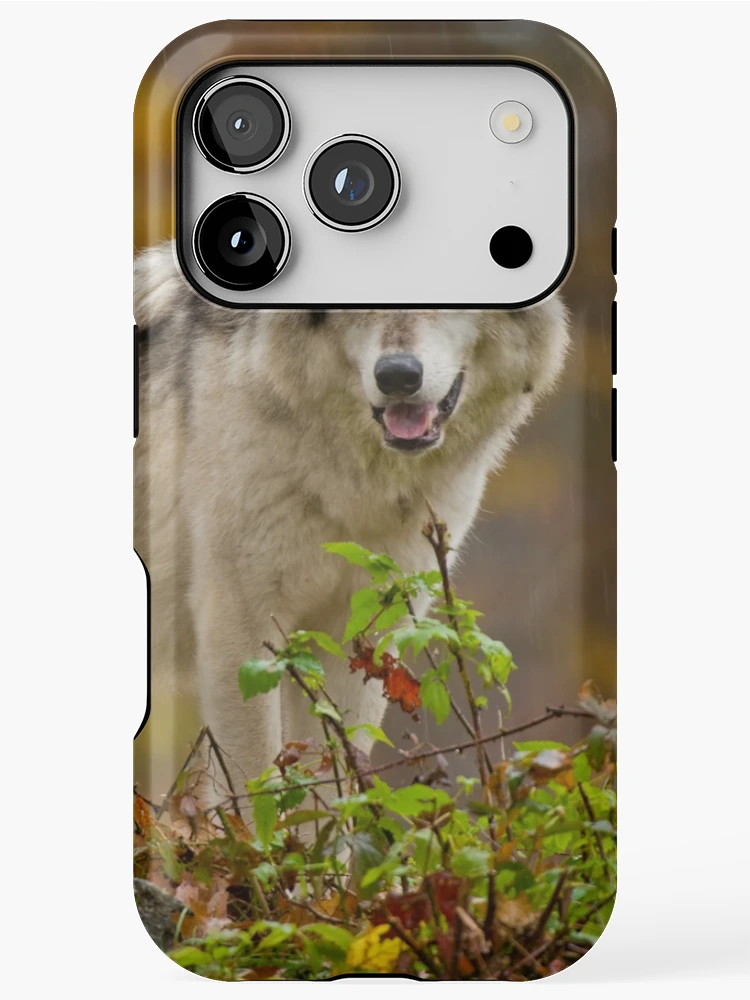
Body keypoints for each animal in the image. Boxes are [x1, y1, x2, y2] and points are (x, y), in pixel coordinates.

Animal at [134, 243, 569, 807]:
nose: (398, 376)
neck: (354, 487)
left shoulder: (360, 634)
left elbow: (335, 789)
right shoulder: (238, 627)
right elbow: (258, 792)